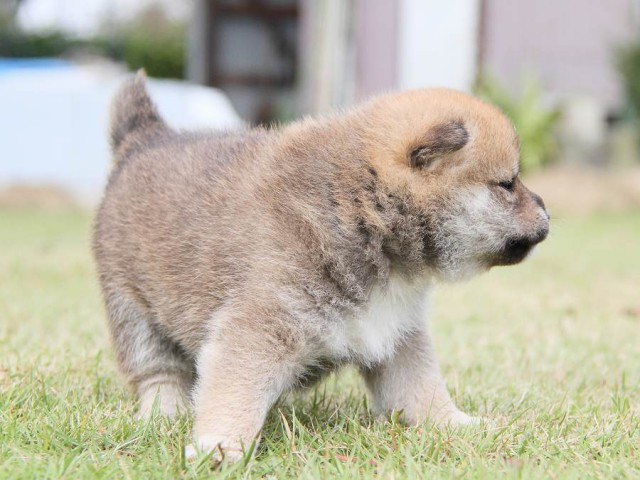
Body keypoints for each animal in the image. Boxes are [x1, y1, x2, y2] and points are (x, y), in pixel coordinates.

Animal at [92, 72, 548, 462]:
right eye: (507, 184)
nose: (547, 212)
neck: (363, 212)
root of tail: (145, 139)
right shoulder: (259, 327)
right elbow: (235, 390)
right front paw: (220, 446)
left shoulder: (397, 333)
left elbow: (422, 388)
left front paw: (457, 423)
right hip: (131, 310)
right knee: (157, 373)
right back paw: (163, 412)